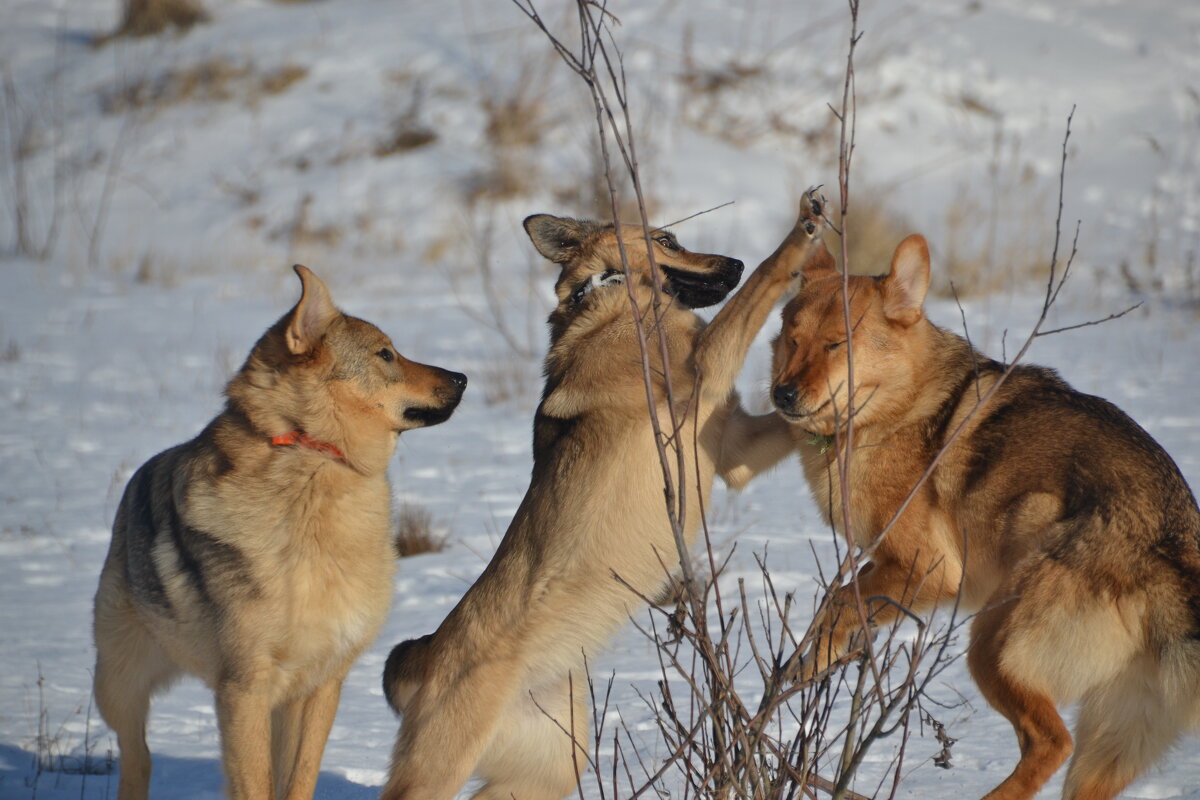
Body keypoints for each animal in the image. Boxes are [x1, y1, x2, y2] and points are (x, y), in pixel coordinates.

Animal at [91, 267, 465, 800]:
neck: (312, 454)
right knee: (136, 755)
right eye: (385, 354)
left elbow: (299, 777)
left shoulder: (322, 681)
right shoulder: (244, 686)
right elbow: (256, 783)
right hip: (118, 682)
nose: (462, 378)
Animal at [384, 194, 835, 800]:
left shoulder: (737, 448)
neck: (617, 292)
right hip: (439, 772)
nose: (733, 263)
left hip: (547, 770)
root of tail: (427, 652)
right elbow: (762, 285)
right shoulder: (706, 366)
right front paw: (801, 232)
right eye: (666, 240)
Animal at [768, 232, 1200, 800]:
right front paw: (815, 661)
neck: (897, 407)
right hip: (1103, 748)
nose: (782, 394)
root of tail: (1170, 553)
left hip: (990, 645)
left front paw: (811, 662)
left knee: (1050, 742)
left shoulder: (928, 570)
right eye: (791, 340)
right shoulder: (889, 565)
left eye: (836, 344)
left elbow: (839, 599)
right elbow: (838, 602)